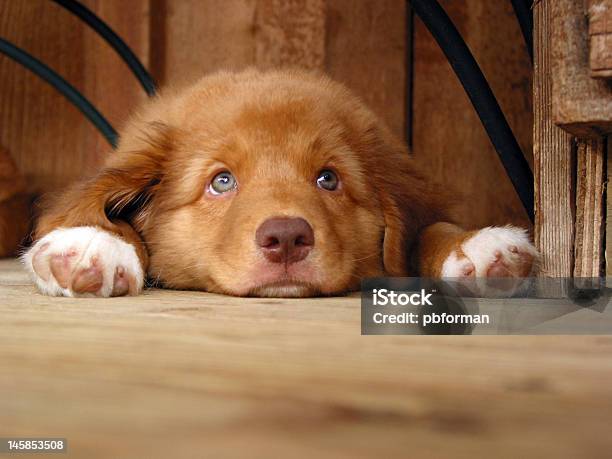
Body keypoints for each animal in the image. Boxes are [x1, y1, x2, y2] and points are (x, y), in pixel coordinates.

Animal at [21, 68, 536, 298]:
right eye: (221, 181)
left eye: (328, 179)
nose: (286, 238)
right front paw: (93, 244)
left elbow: (428, 228)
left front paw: (476, 245)